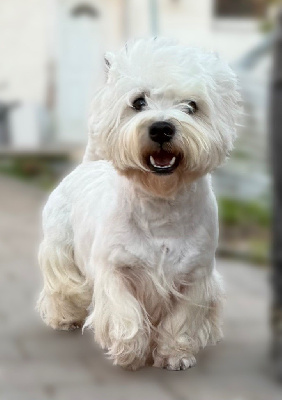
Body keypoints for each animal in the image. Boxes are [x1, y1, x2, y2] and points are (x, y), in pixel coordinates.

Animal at [37, 38, 240, 372]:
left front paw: (175, 355)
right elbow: (125, 310)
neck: (161, 202)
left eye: (192, 106)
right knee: (63, 285)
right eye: (138, 102)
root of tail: (89, 164)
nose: (161, 128)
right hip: (59, 244)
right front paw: (129, 351)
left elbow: (181, 319)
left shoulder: (196, 275)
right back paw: (64, 317)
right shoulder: (114, 267)